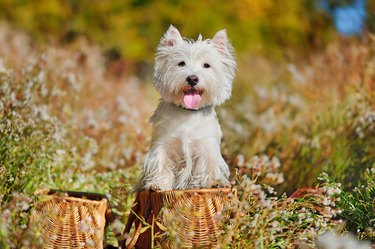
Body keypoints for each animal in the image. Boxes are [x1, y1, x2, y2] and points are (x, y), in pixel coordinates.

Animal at [137, 25, 236, 191]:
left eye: (206, 65)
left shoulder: (206, 145)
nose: (192, 78)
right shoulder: (163, 143)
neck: (188, 112)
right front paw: (158, 184)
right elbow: (161, 163)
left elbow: (208, 164)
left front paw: (210, 182)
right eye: (181, 63)